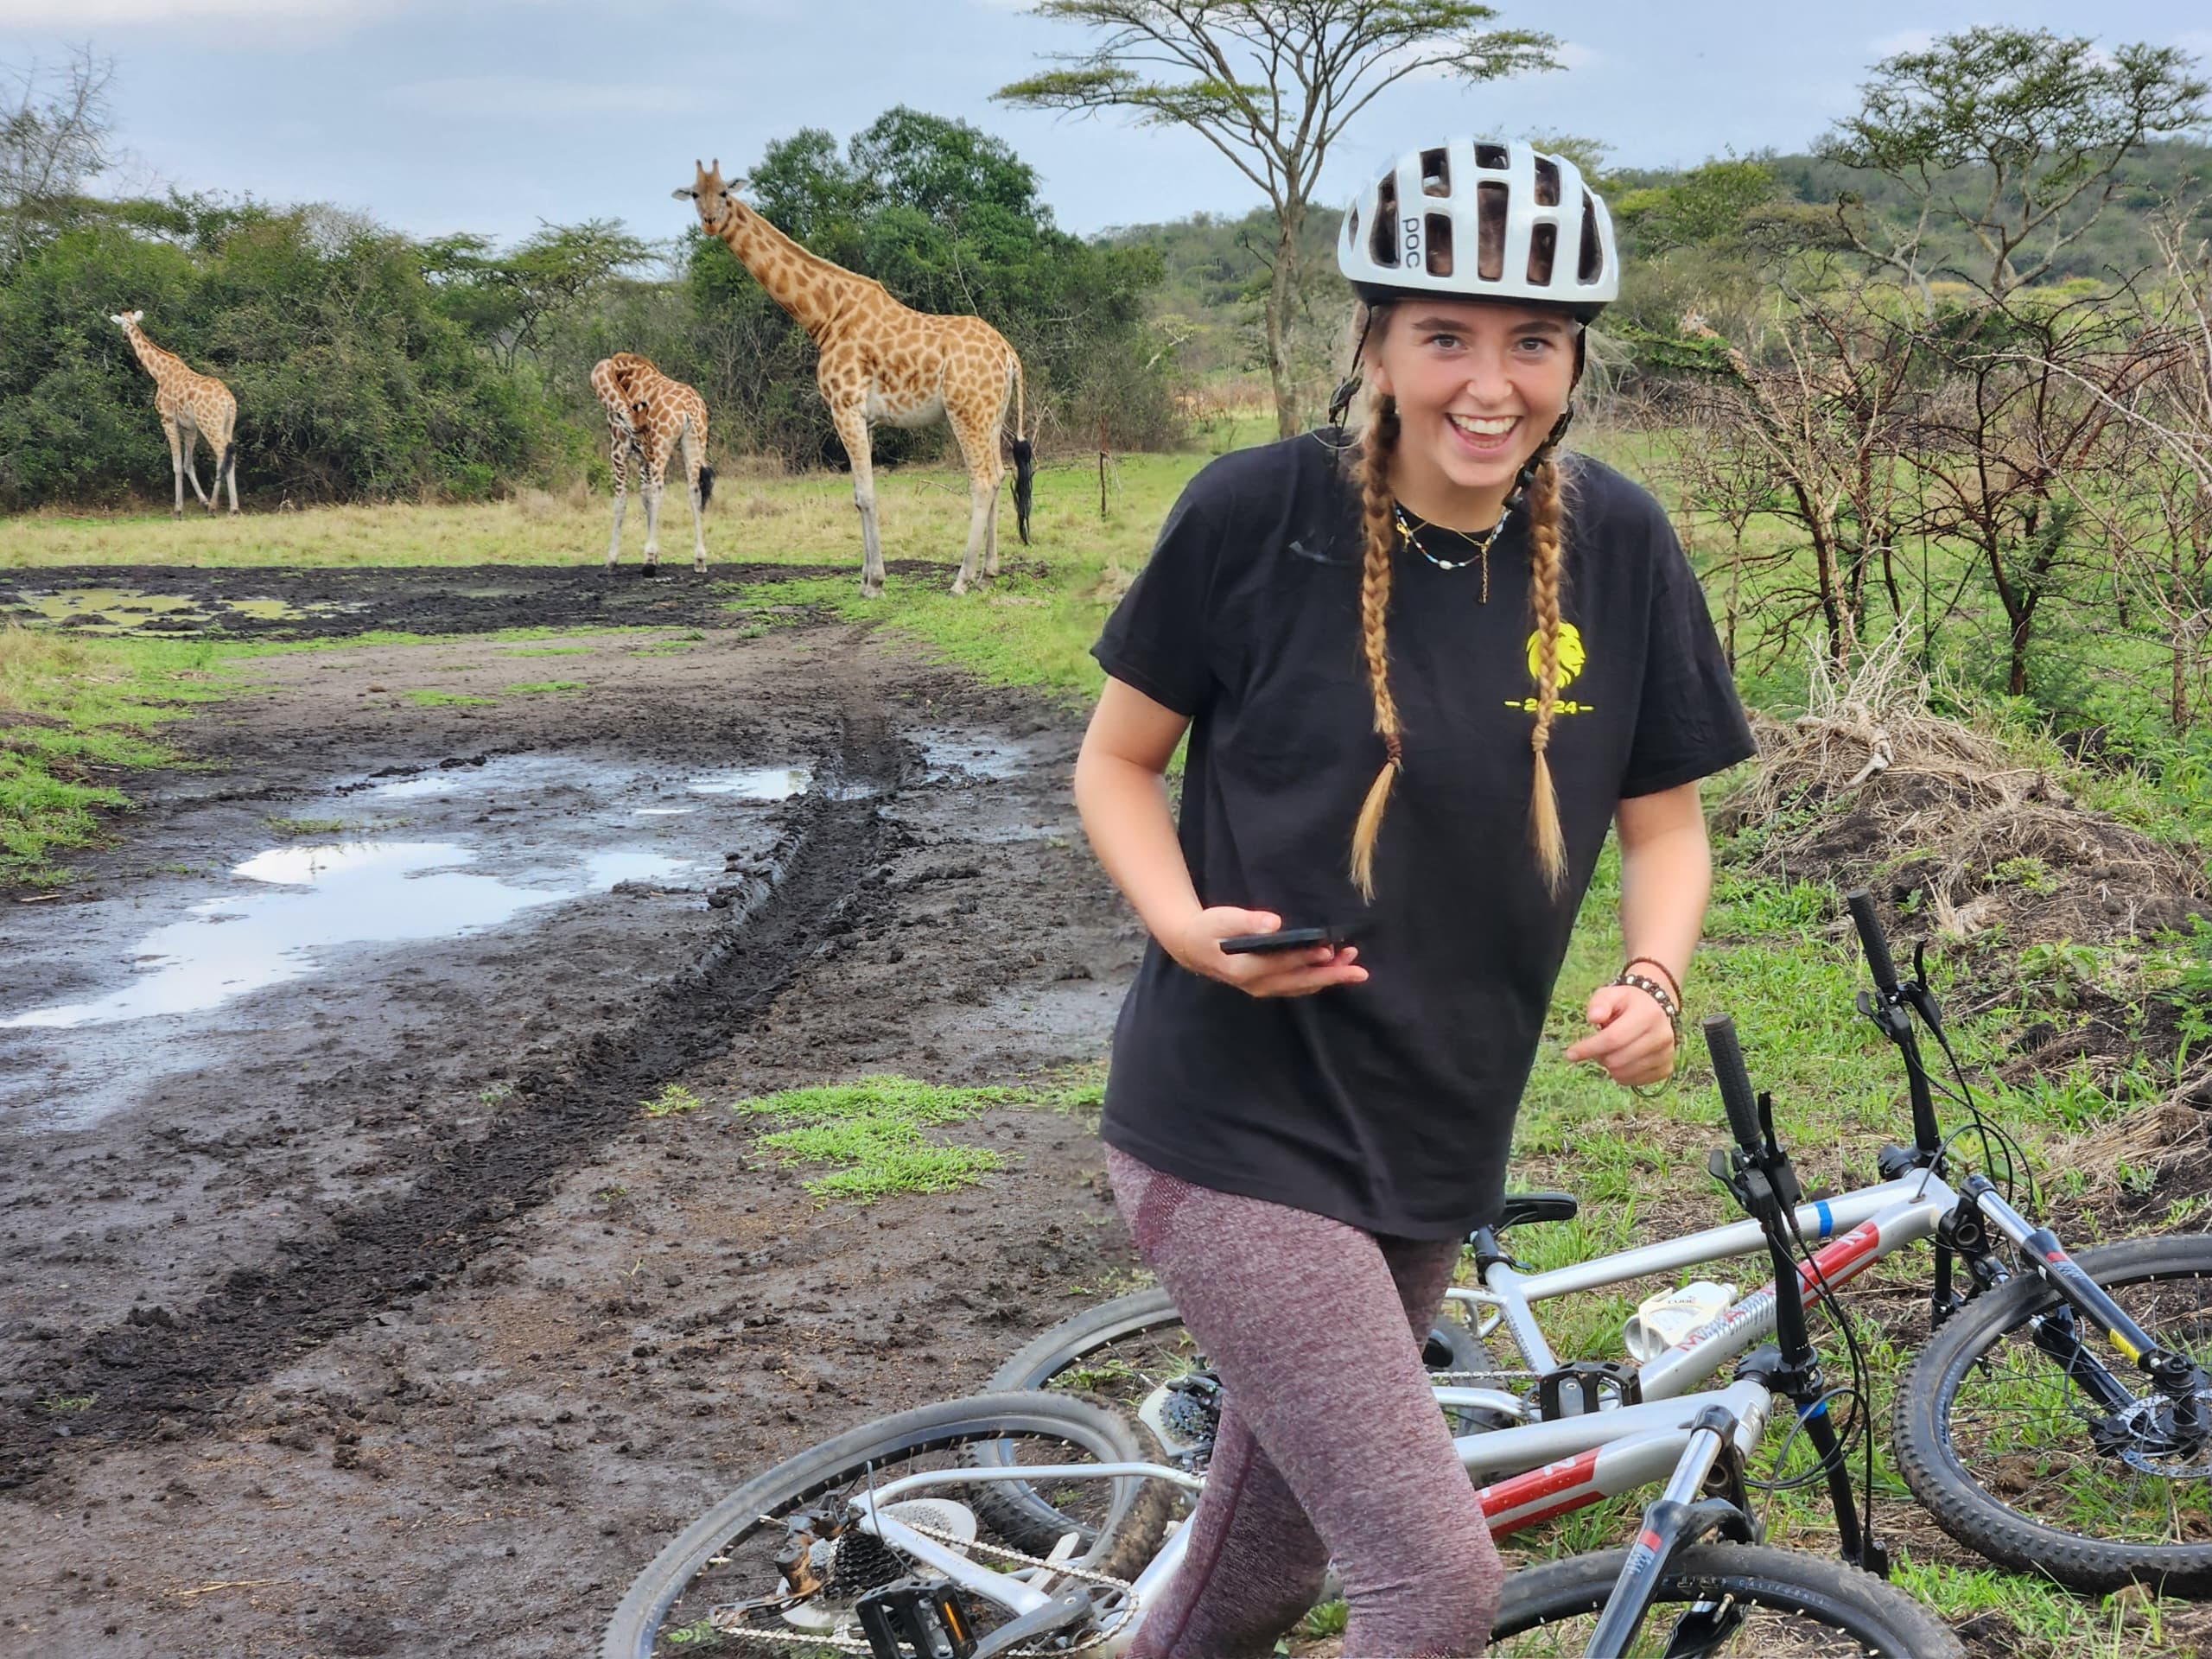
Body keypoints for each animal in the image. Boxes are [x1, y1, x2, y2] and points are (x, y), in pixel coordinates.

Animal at [106, 311, 238, 518]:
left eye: (122, 325)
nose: (124, 337)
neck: (159, 374)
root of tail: (228, 402)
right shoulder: (189, 426)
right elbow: (188, 464)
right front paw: (202, 502)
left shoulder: (167, 419)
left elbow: (176, 465)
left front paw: (178, 509)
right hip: (227, 425)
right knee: (231, 453)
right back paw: (233, 508)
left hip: (209, 423)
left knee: (221, 452)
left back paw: (215, 507)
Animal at [593, 352, 712, 579]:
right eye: (639, 429)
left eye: (646, 427)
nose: (649, 450)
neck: (617, 372)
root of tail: (689, 408)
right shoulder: (641, 459)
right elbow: (645, 498)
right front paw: (656, 555)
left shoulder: (618, 450)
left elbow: (621, 501)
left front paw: (613, 560)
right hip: (695, 443)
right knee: (695, 492)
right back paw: (700, 559)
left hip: (662, 447)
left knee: (659, 490)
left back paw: (648, 563)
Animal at [672, 159, 1035, 601]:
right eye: (695, 194)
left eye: (724, 192)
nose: (709, 222)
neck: (825, 317)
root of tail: (1009, 354)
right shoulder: (866, 418)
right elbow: (860, 495)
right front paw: (866, 578)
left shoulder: (844, 406)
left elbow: (866, 495)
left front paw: (875, 583)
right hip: (991, 414)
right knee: (999, 476)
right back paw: (988, 575)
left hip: (966, 410)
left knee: (983, 480)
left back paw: (961, 580)